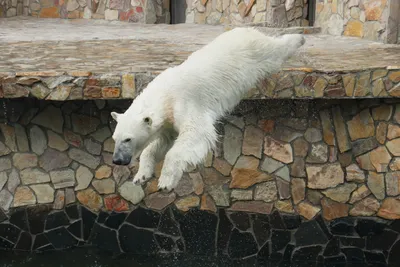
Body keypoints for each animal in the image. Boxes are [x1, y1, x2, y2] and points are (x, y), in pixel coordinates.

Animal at [111, 26, 304, 191]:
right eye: (115, 138)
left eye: (128, 139)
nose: (117, 160)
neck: (164, 94)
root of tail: (244, 29)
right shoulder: (168, 119)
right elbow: (162, 141)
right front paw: (141, 176)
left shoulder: (185, 102)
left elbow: (196, 132)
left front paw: (166, 182)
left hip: (256, 53)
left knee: (276, 50)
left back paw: (298, 38)